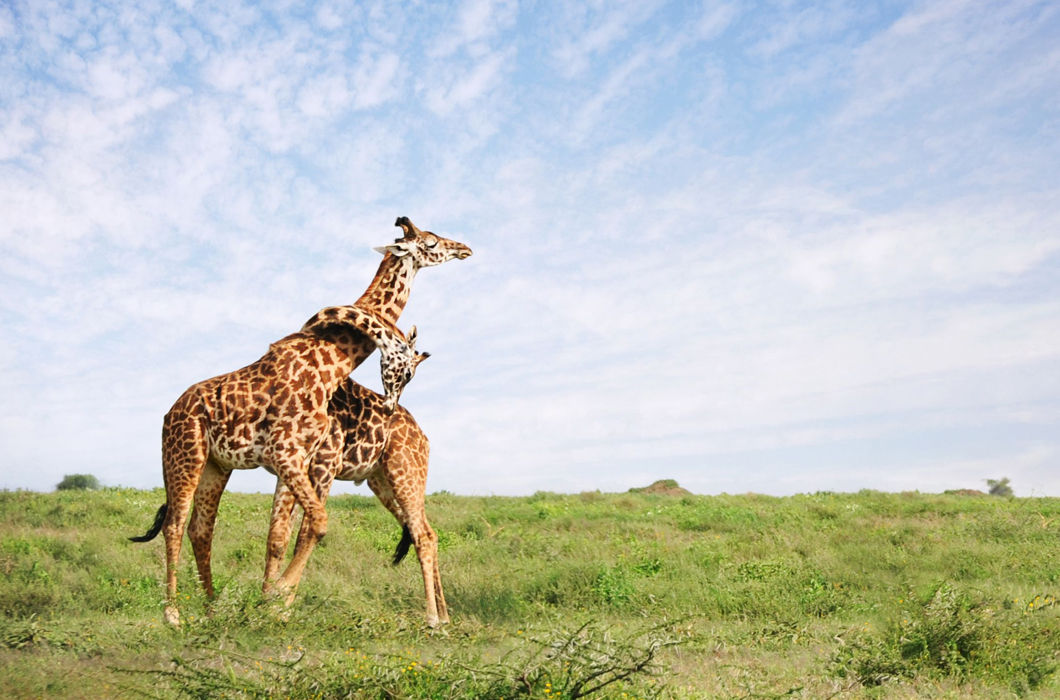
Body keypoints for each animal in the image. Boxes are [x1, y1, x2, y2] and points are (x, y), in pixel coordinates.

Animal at [265, 379, 447, 627]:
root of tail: (424, 438)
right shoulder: (286, 467)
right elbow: (277, 538)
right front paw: (266, 602)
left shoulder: (325, 462)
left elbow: (302, 536)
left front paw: (283, 606)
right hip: (381, 482)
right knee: (428, 532)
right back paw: (444, 615)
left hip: (405, 473)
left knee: (423, 536)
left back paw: (432, 618)